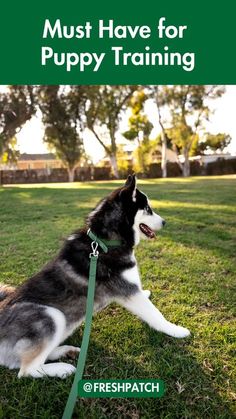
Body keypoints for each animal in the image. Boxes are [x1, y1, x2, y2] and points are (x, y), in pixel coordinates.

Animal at [0, 176, 190, 378]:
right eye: (147, 208)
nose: (165, 222)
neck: (105, 241)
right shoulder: (128, 290)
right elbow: (155, 314)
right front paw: (175, 330)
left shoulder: (129, 290)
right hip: (51, 315)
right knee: (26, 369)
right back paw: (62, 368)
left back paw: (64, 351)